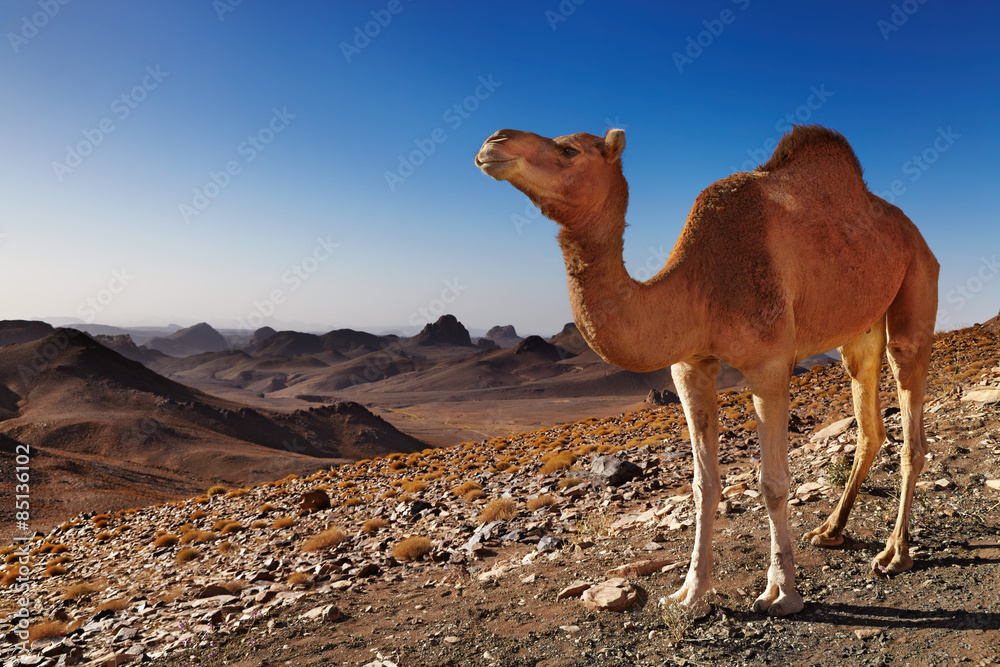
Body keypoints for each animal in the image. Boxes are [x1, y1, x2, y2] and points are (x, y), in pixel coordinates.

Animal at [474, 124, 936, 616]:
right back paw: (830, 530)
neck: (702, 281)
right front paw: (690, 593)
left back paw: (895, 553)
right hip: (861, 326)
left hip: (916, 281)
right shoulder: (689, 367)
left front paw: (782, 592)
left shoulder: (770, 364)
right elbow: (703, 484)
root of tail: (911, 230)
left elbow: (773, 482)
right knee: (869, 421)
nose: (494, 141)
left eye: (568, 150)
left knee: (910, 420)